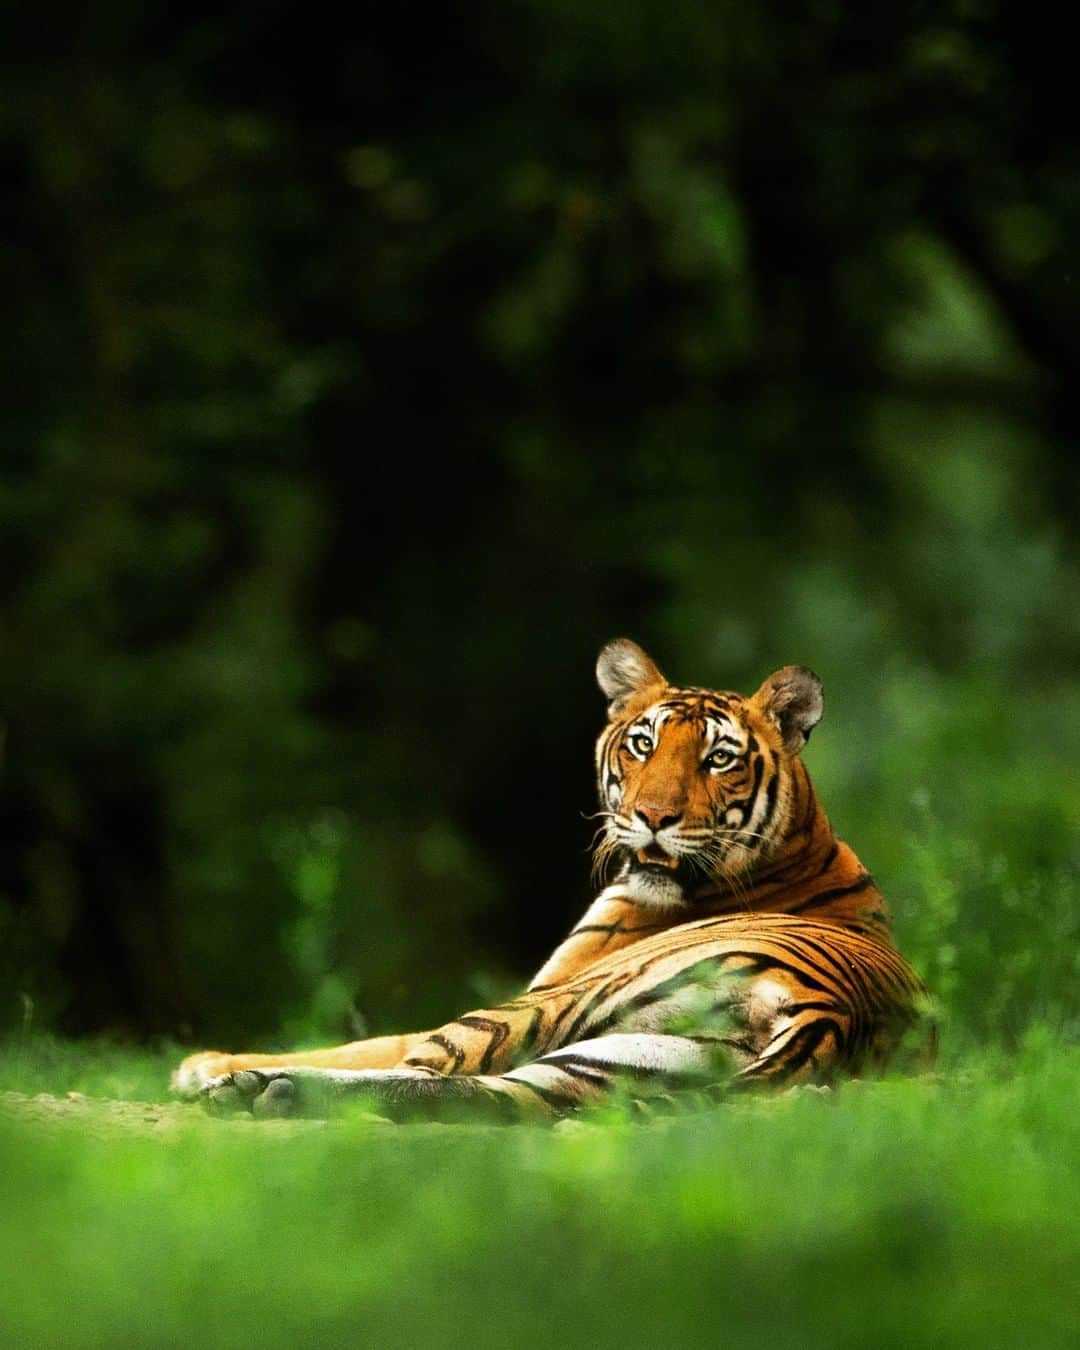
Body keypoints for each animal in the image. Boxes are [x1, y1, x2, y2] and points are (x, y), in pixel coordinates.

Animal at [170, 639, 928, 1117]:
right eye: (643, 743)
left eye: (718, 758)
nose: (654, 816)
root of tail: (832, 1012)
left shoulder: (546, 987)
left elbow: (367, 1042)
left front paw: (205, 1061)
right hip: (611, 1066)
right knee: (477, 1097)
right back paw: (267, 1093)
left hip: (544, 1009)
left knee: (424, 1064)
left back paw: (251, 1085)